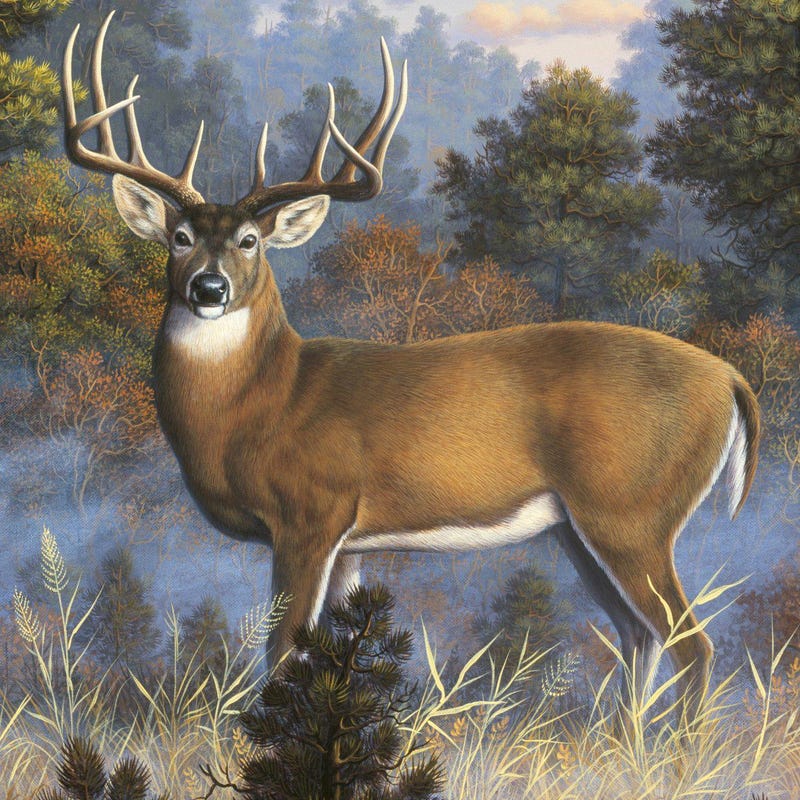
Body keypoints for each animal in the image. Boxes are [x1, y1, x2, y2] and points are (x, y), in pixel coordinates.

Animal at [63, 13, 759, 721]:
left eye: (249, 241)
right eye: (179, 238)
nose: (208, 288)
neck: (263, 403)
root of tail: (730, 379)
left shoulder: (312, 513)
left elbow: (282, 654)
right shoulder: (349, 543)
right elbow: (331, 656)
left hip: (632, 509)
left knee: (691, 644)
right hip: (580, 526)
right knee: (639, 637)